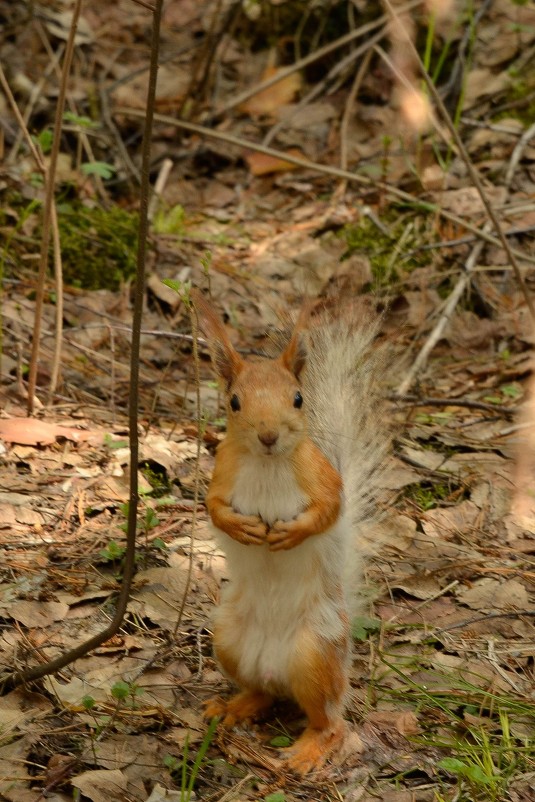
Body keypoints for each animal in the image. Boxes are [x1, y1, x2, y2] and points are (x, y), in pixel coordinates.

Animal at [194, 290, 390, 772]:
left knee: (330, 722)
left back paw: (307, 750)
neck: (267, 463)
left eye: (298, 399)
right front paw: (242, 527)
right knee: (261, 693)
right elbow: (213, 508)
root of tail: (274, 670)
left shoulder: (323, 479)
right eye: (234, 402)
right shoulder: (221, 475)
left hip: (314, 656)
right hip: (228, 641)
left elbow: (329, 510)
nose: (268, 436)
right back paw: (233, 706)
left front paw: (292, 534)